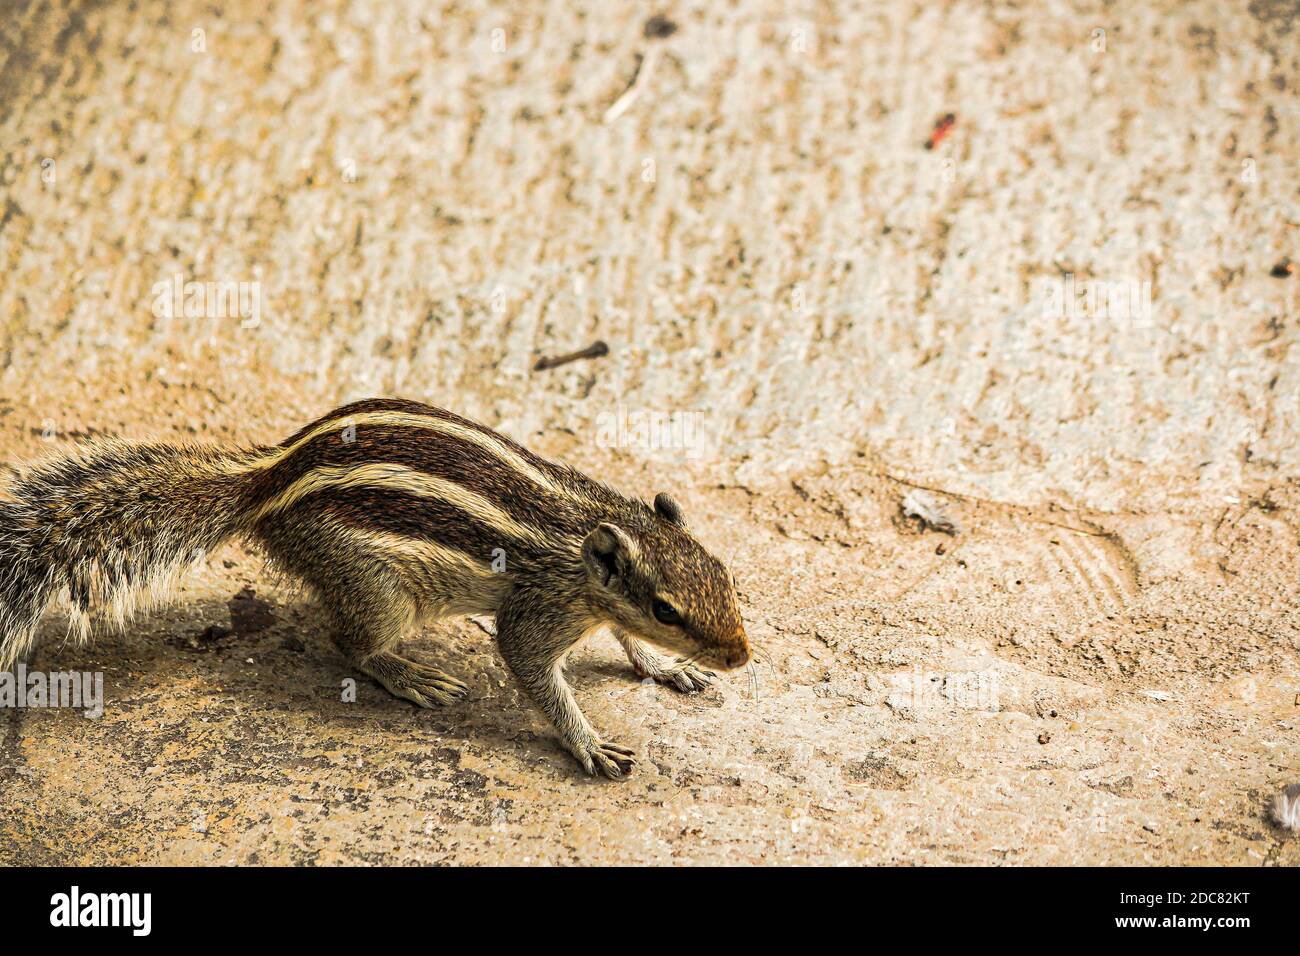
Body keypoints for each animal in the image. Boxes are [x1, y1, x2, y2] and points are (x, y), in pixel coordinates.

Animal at [0, 398, 751, 778]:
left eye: (725, 577)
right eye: (667, 609)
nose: (741, 655)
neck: (587, 539)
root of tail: (264, 481)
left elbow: (623, 641)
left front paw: (665, 667)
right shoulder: (535, 610)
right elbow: (534, 670)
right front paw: (589, 742)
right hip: (380, 589)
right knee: (350, 642)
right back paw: (411, 674)